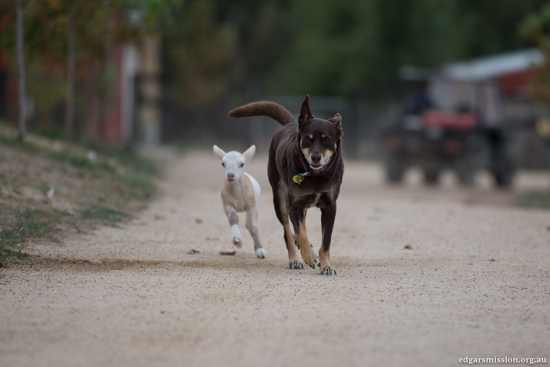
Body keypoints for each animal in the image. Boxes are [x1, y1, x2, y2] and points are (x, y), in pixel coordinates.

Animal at [230, 96, 344, 274]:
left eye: (327, 140)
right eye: (307, 138)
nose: (316, 157)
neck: (315, 175)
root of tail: (292, 123)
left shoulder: (330, 207)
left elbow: (325, 241)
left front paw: (326, 266)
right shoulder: (294, 206)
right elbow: (298, 232)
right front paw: (308, 255)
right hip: (280, 200)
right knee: (288, 232)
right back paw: (295, 259)